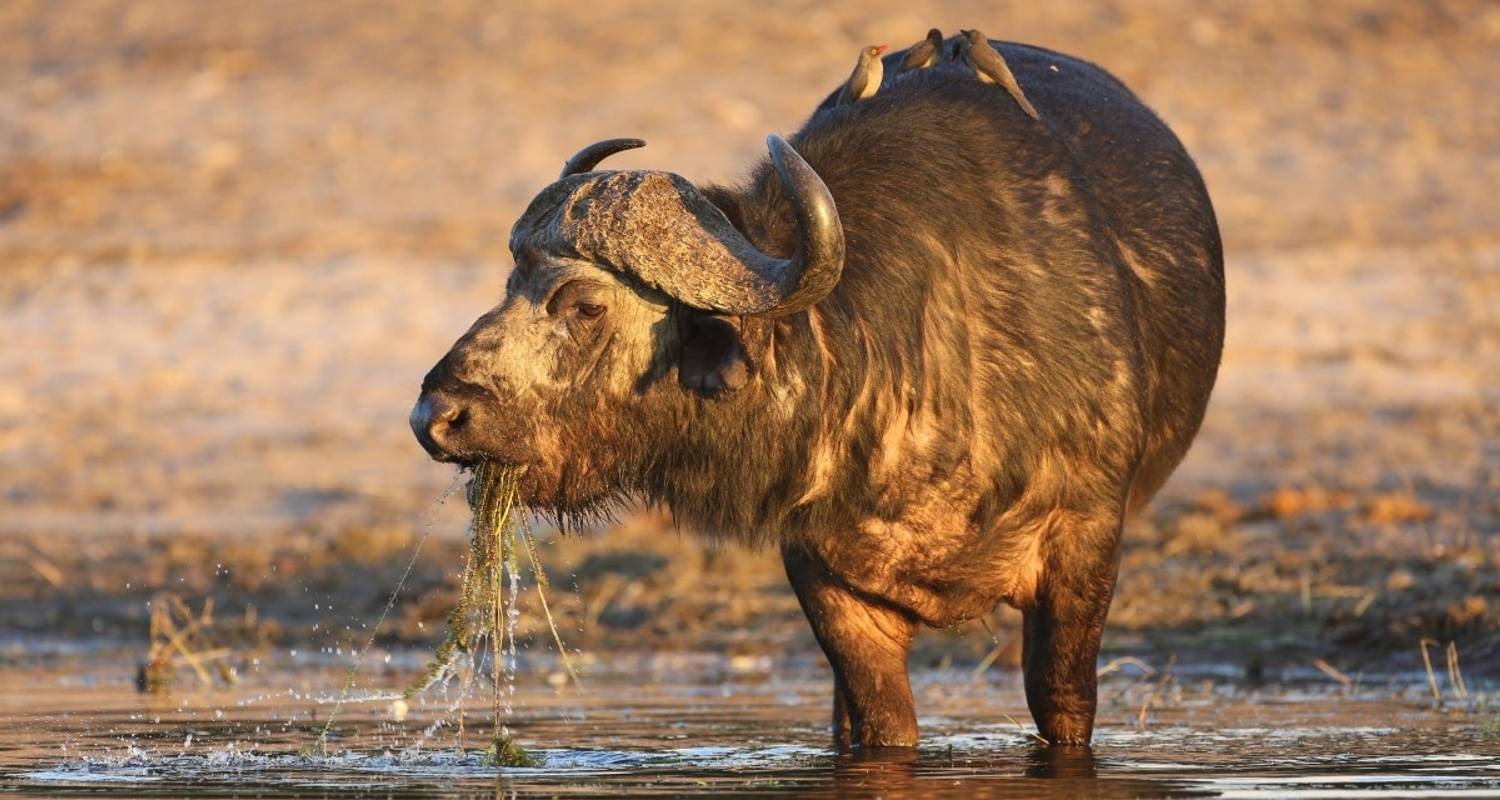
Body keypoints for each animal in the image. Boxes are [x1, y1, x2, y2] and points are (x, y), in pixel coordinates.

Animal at [411, 35, 1218, 747]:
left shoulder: (1085, 545)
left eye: (583, 304)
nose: (435, 416)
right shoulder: (821, 573)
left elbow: (1061, 706)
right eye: (512, 281)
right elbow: (882, 722)